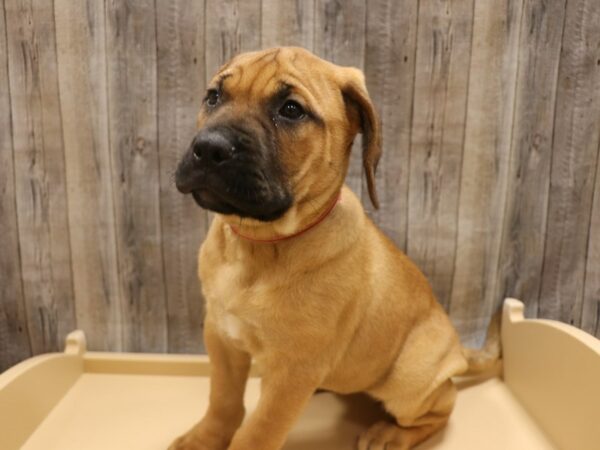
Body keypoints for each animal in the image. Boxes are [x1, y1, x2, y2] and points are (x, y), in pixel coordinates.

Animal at [171, 47, 500, 450]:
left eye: (291, 110)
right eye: (214, 96)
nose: (208, 147)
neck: (260, 244)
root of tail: (458, 350)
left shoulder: (291, 372)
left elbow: (258, 432)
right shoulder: (221, 336)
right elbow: (223, 400)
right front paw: (204, 439)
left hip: (409, 379)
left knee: (443, 404)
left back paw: (390, 435)